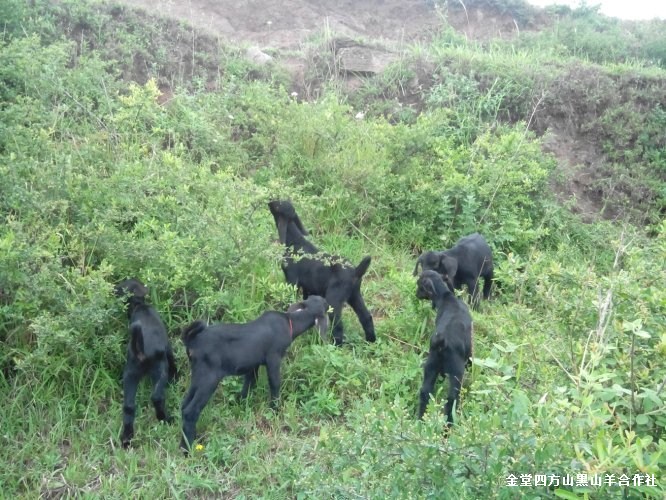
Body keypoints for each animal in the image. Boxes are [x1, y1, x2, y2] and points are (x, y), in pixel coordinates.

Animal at [114, 280, 176, 448]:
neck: (138, 305)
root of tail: (140, 350)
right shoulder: (168, 349)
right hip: (160, 370)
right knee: (156, 397)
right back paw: (165, 419)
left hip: (130, 375)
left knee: (129, 406)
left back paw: (126, 439)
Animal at [180, 294, 328, 452]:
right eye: (324, 303)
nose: (327, 302)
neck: (290, 322)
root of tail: (192, 341)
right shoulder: (273, 358)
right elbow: (274, 383)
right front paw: (275, 409)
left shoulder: (253, 365)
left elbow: (249, 384)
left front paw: (241, 404)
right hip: (209, 378)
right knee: (190, 411)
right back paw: (187, 448)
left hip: (198, 376)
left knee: (184, 405)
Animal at [268, 197, 376, 346]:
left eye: (278, 206)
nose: (269, 201)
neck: (295, 240)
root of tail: (355, 271)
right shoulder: (308, 287)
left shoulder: (292, 280)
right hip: (355, 295)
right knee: (366, 317)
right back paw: (371, 341)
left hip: (334, 299)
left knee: (338, 324)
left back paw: (336, 345)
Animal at [416, 272, 472, 424]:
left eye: (419, 284)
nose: (416, 294)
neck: (447, 297)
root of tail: (441, 342)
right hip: (456, 374)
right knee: (452, 399)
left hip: (430, 366)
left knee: (425, 391)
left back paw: (420, 420)